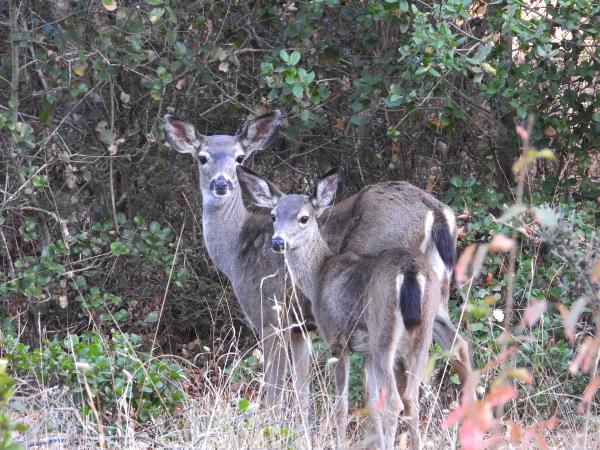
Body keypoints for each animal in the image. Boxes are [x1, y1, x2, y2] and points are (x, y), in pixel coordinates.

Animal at [164, 111, 474, 414]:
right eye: (202, 157)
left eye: (240, 157)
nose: (221, 183)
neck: (237, 250)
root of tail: (436, 210)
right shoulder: (301, 326)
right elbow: (302, 390)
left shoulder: (270, 315)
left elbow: (274, 391)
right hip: (436, 292)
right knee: (458, 345)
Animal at [237, 166, 438, 450]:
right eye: (274, 216)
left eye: (304, 218)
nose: (277, 242)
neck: (319, 275)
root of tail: (410, 271)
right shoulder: (365, 351)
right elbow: (371, 403)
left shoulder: (336, 338)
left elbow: (340, 405)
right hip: (423, 330)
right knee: (411, 398)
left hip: (383, 332)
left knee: (395, 401)